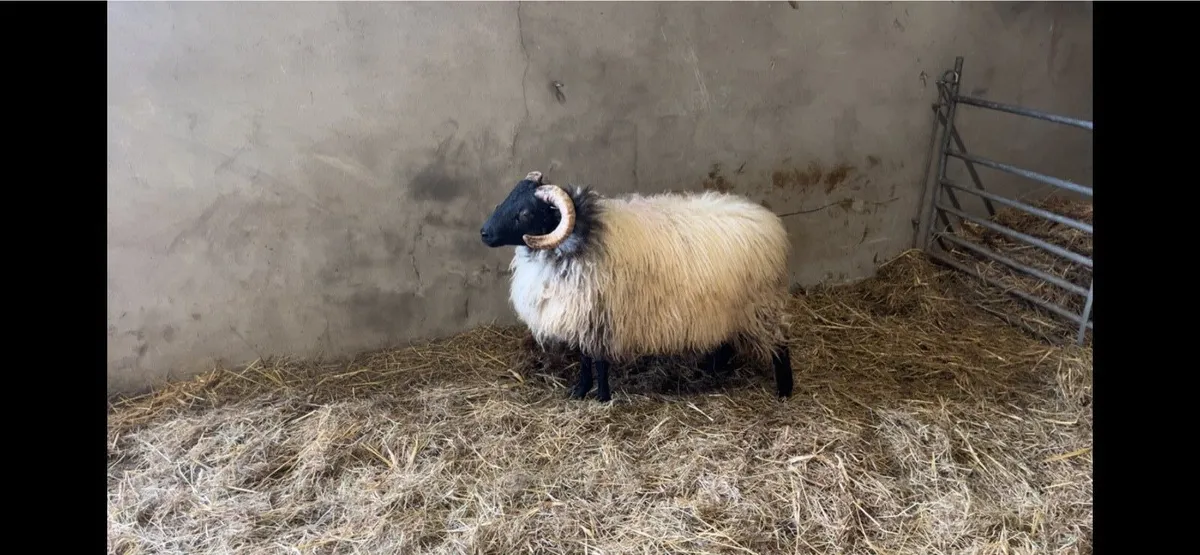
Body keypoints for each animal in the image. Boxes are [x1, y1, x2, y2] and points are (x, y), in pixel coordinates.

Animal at [480, 170, 794, 402]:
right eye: (508, 198)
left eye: (524, 213)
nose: (484, 233)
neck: (579, 239)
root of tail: (771, 224)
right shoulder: (583, 317)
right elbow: (584, 359)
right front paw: (580, 392)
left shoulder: (601, 317)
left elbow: (598, 361)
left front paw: (602, 397)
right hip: (730, 308)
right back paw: (716, 371)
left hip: (761, 305)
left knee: (781, 344)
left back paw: (784, 391)